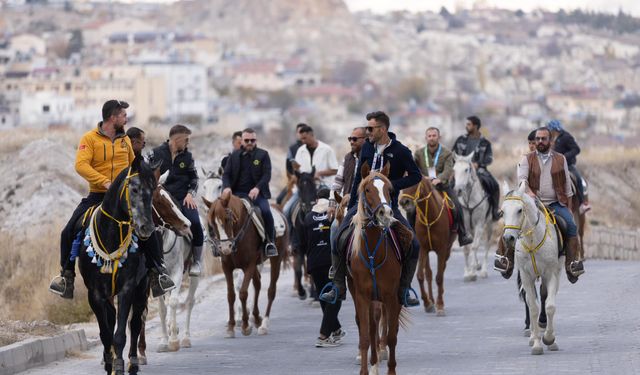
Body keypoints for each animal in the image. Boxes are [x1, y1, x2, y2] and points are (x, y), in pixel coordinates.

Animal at [77, 157, 157, 374]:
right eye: (135, 189)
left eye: (153, 190)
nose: (147, 227)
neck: (111, 236)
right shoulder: (95, 294)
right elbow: (105, 333)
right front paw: (108, 362)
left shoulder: (127, 288)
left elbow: (120, 333)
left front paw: (119, 364)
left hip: (142, 288)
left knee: (136, 323)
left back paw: (134, 362)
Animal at [206, 194, 288, 338]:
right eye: (212, 224)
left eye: (227, 219)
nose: (226, 248)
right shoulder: (227, 267)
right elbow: (231, 295)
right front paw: (231, 326)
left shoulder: (249, 265)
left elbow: (243, 293)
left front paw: (245, 326)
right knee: (257, 284)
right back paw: (256, 318)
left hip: (276, 260)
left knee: (271, 291)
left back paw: (264, 324)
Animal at [400, 178, 456, 316]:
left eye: (414, 183)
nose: (404, 202)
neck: (429, 217)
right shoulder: (423, 249)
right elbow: (421, 275)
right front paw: (427, 303)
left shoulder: (442, 250)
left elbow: (439, 277)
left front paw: (440, 305)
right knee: (428, 273)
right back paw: (431, 300)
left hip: (447, 249)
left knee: (441, 270)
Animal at [450, 153, 496, 282]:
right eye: (454, 169)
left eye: (467, 169)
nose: (458, 190)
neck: (470, 199)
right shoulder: (465, 226)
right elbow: (466, 249)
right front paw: (468, 273)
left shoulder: (479, 225)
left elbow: (475, 247)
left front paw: (474, 269)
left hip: (489, 225)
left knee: (486, 245)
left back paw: (483, 270)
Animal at [502, 182, 564, 356]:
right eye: (502, 211)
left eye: (519, 210)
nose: (508, 238)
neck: (531, 240)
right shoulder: (526, 276)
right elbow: (533, 307)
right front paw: (536, 344)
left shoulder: (552, 274)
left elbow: (550, 306)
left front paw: (549, 340)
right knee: (530, 301)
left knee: (544, 296)